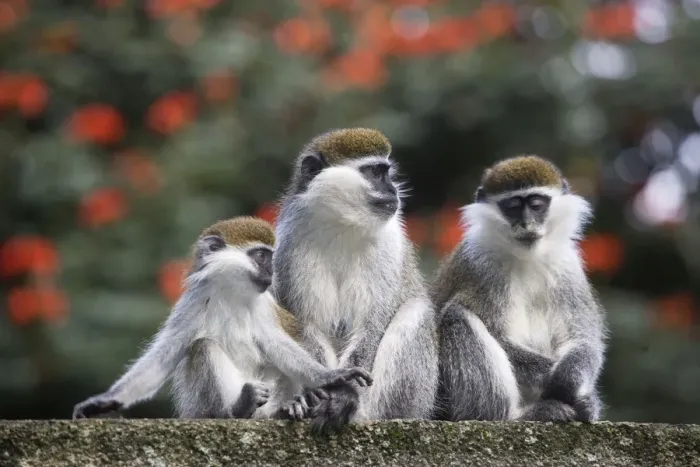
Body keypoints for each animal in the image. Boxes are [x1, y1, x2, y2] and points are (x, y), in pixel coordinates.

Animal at [72, 216, 372, 420]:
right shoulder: (192, 302)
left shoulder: (264, 307)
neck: (231, 293)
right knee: (204, 346)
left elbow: (279, 347)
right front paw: (105, 401)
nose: (272, 273)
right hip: (200, 405)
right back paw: (237, 409)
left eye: (271, 258)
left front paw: (329, 377)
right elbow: (163, 357)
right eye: (261, 256)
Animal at [272, 128, 439, 432]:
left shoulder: (388, 244)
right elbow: (306, 325)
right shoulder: (289, 247)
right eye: (375, 172)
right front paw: (327, 386)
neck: (343, 225)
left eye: (387, 172)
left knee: (416, 311)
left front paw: (345, 393)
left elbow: (371, 325)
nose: (393, 190)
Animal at [431, 155, 607, 423]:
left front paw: (575, 382)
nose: (527, 224)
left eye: (536, 205)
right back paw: (514, 415)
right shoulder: (481, 266)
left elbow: (583, 338)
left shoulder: (567, 266)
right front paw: (558, 380)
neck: (526, 257)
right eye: (513, 206)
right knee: (456, 317)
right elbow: (499, 337)